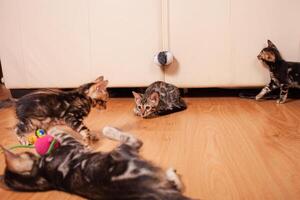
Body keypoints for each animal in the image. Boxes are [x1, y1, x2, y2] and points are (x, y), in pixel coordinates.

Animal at [1, 127, 191, 199]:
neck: (44, 176)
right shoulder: (72, 145)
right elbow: (62, 134)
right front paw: (53, 129)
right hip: (121, 150)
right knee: (135, 140)